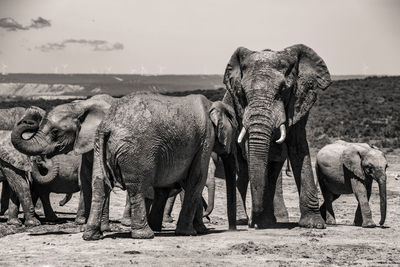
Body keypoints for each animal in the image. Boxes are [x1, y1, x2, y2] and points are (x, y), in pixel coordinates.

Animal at [81, 93, 238, 242]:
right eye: (235, 132)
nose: (232, 230)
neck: (213, 104)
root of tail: (108, 125)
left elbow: (186, 181)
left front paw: (200, 230)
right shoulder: (206, 139)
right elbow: (197, 178)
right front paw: (189, 233)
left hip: (99, 146)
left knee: (99, 184)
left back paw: (91, 236)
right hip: (135, 151)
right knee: (138, 187)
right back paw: (145, 235)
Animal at [220, 44, 330, 230]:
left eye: (282, 91)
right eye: (243, 93)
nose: (253, 224)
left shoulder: (298, 103)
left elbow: (298, 149)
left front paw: (314, 224)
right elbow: (251, 153)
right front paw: (260, 222)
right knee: (242, 169)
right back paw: (245, 220)